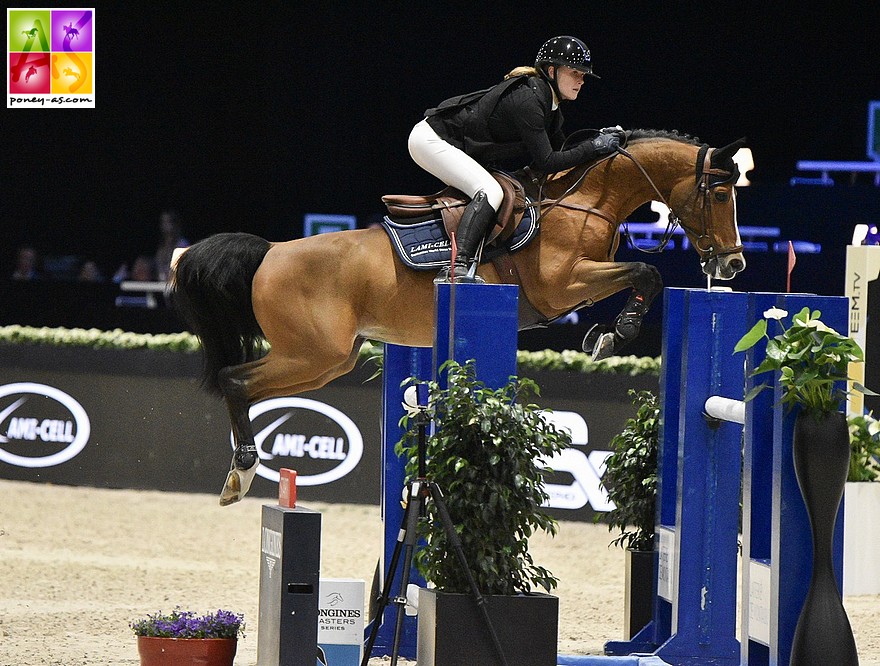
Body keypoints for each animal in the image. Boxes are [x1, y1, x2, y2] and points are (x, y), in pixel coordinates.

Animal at [170, 128, 744, 504]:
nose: (733, 264)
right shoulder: (562, 286)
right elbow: (646, 272)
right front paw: (614, 334)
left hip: (327, 360)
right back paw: (241, 474)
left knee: (246, 384)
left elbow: (643, 275)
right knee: (235, 380)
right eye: (719, 193)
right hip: (314, 353)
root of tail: (270, 252)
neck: (583, 201)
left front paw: (604, 334)